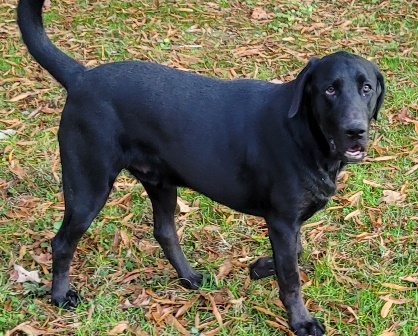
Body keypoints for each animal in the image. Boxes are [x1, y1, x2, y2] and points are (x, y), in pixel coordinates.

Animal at [18, 1, 386, 334]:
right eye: (329, 89)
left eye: (366, 87)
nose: (355, 130)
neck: (306, 136)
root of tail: (81, 77)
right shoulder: (282, 220)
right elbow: (292, 277)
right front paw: (301, 321)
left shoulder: (287, 223)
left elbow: (295, 252)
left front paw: (258, 268)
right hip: (88, 187)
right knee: (62, 243)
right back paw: (60, 296)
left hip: (160, 183)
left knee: (164, 232)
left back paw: (189, 277)